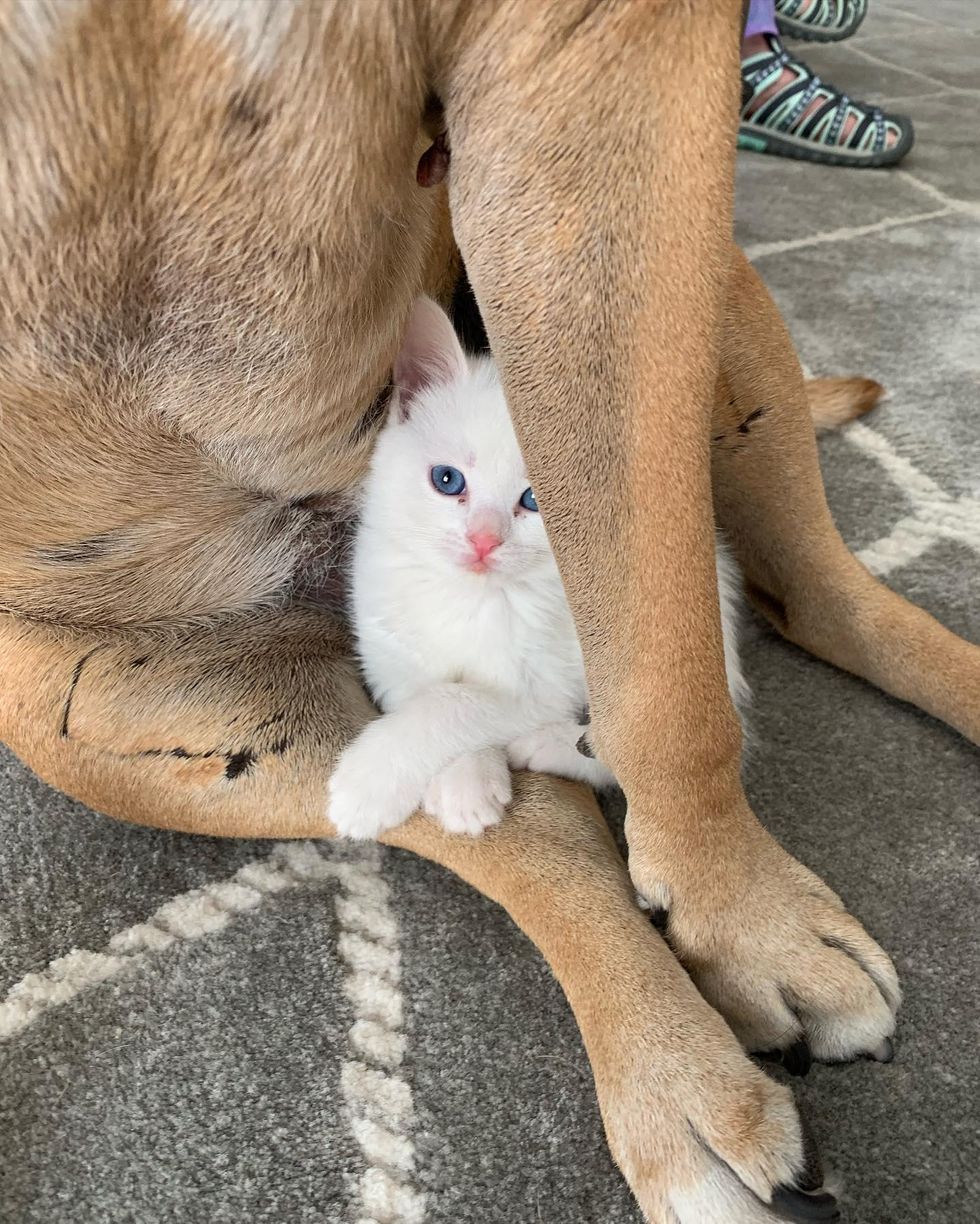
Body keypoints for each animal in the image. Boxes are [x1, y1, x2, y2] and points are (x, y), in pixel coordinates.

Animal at [325, 296, 743, 842]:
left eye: (534, 501)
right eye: (447, 479)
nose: (483, 540)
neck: (471, 595)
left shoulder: (547, 681)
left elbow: (459, 701)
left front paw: (371, 786)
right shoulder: (387, 648)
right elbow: (427, 690)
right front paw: (463, 782)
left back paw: (546, 746)